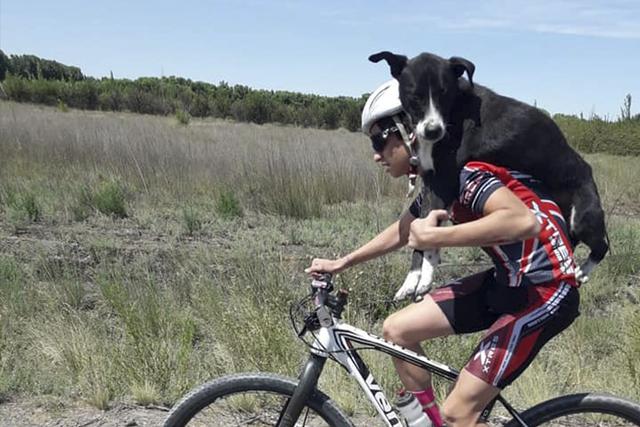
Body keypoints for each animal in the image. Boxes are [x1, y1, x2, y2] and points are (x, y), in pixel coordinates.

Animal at [368, 51, 608, 298]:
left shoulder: (445, 182)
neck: (455, 110)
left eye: (445, 94)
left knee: (602, 246)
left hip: (583, 216)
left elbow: (429, 234)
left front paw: (425, 279)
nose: (433, 131)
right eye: (415, 96)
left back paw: (583, 271)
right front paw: (412, 279)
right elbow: (420, 232)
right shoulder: (430, 183)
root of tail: (587, 168)